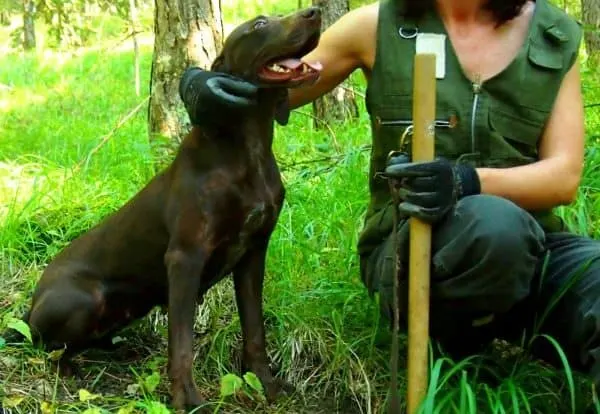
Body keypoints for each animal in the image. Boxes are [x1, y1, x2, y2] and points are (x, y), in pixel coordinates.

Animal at [14, 8, 322, 412]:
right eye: (259, 24)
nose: (315, 12)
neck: (247, 148)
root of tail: (31, 303)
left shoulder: (253, 254)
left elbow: (255, 331)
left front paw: (266, 385)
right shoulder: (184, 259)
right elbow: (182, 344)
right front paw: (187, 399)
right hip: (85, 298)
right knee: (50, 348)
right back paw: (71, 369)